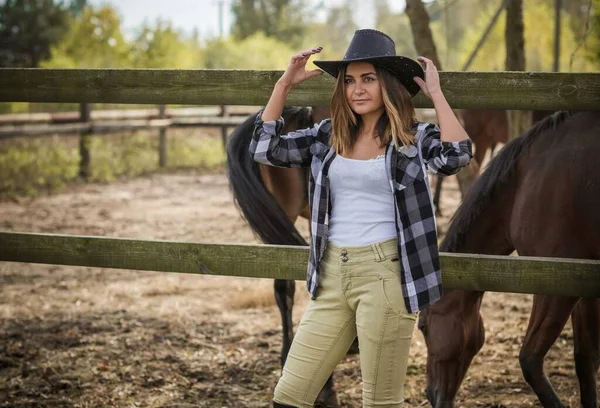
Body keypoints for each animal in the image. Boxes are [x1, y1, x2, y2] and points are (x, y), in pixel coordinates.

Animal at [418, 110, 600, 406]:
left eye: (423, 326)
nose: (431, 394)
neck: (524, 184)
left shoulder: (555, 286)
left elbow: (530, 359)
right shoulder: (583, 283)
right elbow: (586, 360)